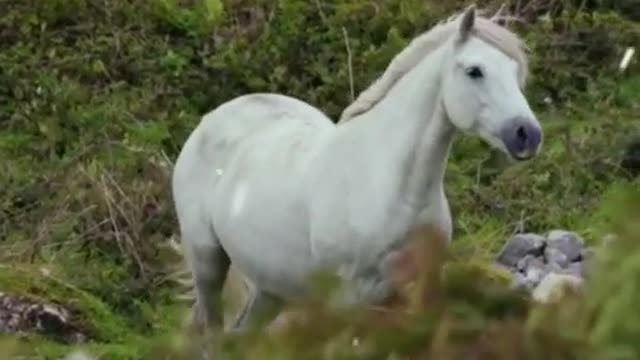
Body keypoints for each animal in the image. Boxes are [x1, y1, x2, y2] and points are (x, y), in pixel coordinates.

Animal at [172, 3, 544, 338]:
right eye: (475, 71)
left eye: (515, 72)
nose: (527, 134)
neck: (392, 185)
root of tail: (210, 121)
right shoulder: (347, 301)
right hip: (208, 264)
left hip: (270, 287)